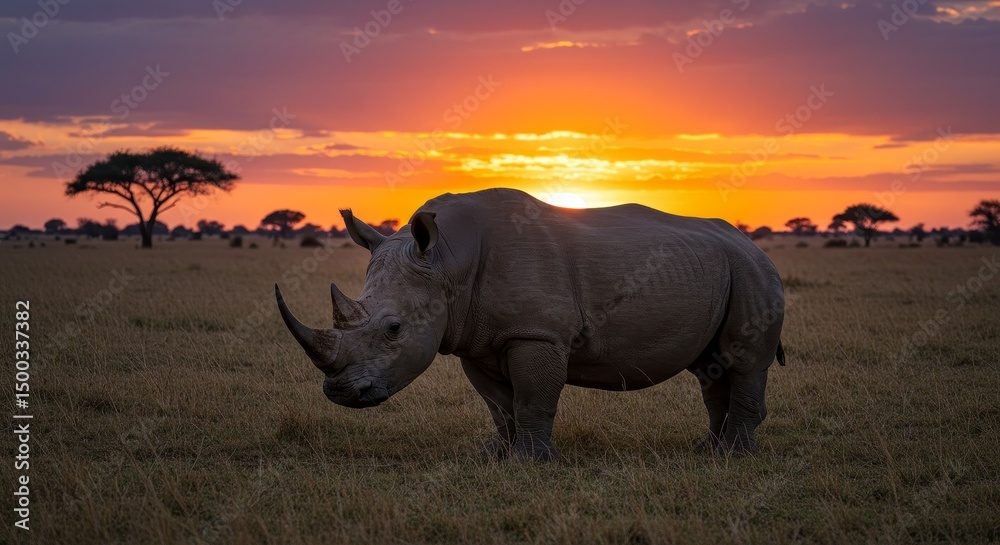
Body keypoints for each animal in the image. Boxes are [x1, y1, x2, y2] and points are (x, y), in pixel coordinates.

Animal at [276, 188, 784, 461]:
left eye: (394, 329)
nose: (341, 393)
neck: (445, 262)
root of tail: (752, 243)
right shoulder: (475, 339)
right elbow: (500, 406)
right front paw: (495, 456)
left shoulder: (535, 332)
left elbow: (533, 397)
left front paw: (532, 462)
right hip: (723, 268)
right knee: (711, 367)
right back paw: (708, 450)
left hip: (752, 270)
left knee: (742, 362)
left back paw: (734, 455)